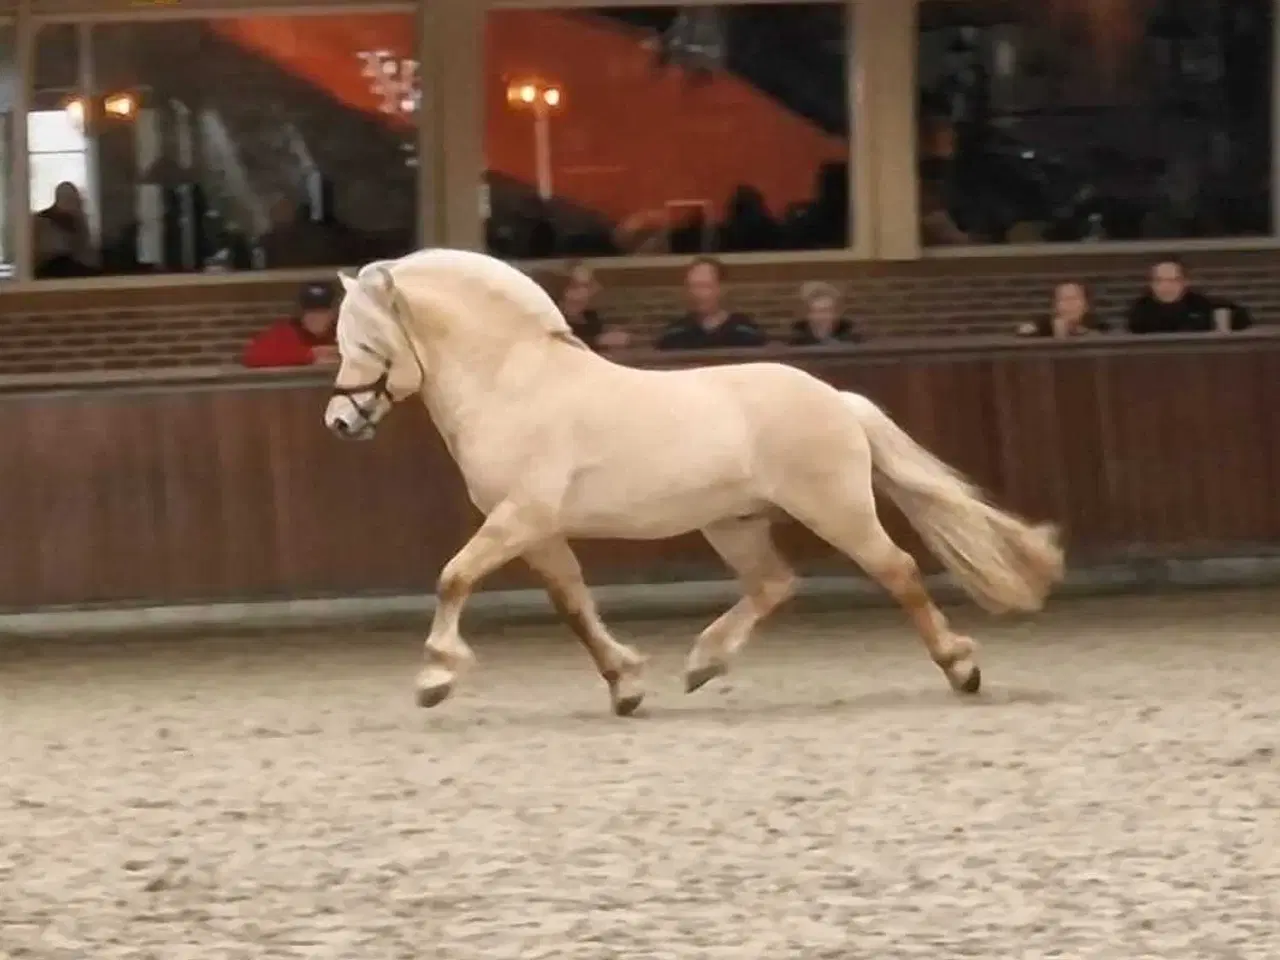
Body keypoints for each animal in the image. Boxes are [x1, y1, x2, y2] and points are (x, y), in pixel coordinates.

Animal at [323, 249, 1064, 716]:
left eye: (366, 343)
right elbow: (572, 603)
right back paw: (704, 663)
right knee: (773, 584)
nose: (339, 421)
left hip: (835, 510)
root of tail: (835, 398)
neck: (514, 383)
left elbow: (454, 578)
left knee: (898, 571)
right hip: (733, 524)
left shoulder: (519, 517)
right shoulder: (536, 530)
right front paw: (624, 684)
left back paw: (962, 668)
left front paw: (435, 676)